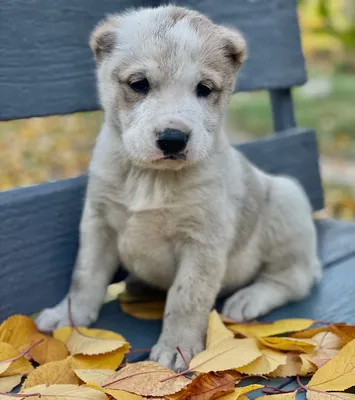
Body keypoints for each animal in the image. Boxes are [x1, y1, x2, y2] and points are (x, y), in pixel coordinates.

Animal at [36, 3, 322, 372]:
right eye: (139, 84)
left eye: (204, 89)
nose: (173, 138)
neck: (150, 178)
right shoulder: (98, 224)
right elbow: (84, 277)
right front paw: (68, 318)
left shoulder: (202, 242)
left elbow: (186, 298)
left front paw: (177, 347)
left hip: (287, 201)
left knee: (294, 278)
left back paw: (250, 298)